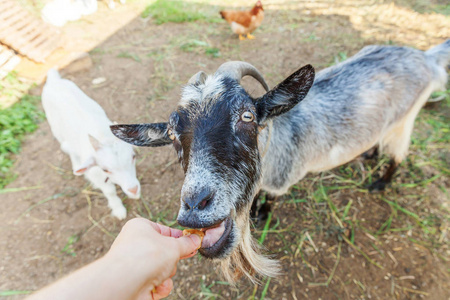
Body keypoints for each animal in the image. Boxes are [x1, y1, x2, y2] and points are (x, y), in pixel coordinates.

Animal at [43, 69, 141, 219]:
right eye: (105, 169)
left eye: (133, 156)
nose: (134, 189)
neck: (103, 136)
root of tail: (53, 80)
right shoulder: (96, 175)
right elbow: (110, 191)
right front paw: (118, 209)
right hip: (56, 128)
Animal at [110, 39, 450, 282]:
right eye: (171, 132)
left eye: (248, 115)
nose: (195, 206)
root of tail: (426, 57)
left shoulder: (281, 180)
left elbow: (272, 198)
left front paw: (263, 213)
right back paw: (368, 154)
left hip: (405, 121)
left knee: (399, 154)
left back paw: (380, 182)